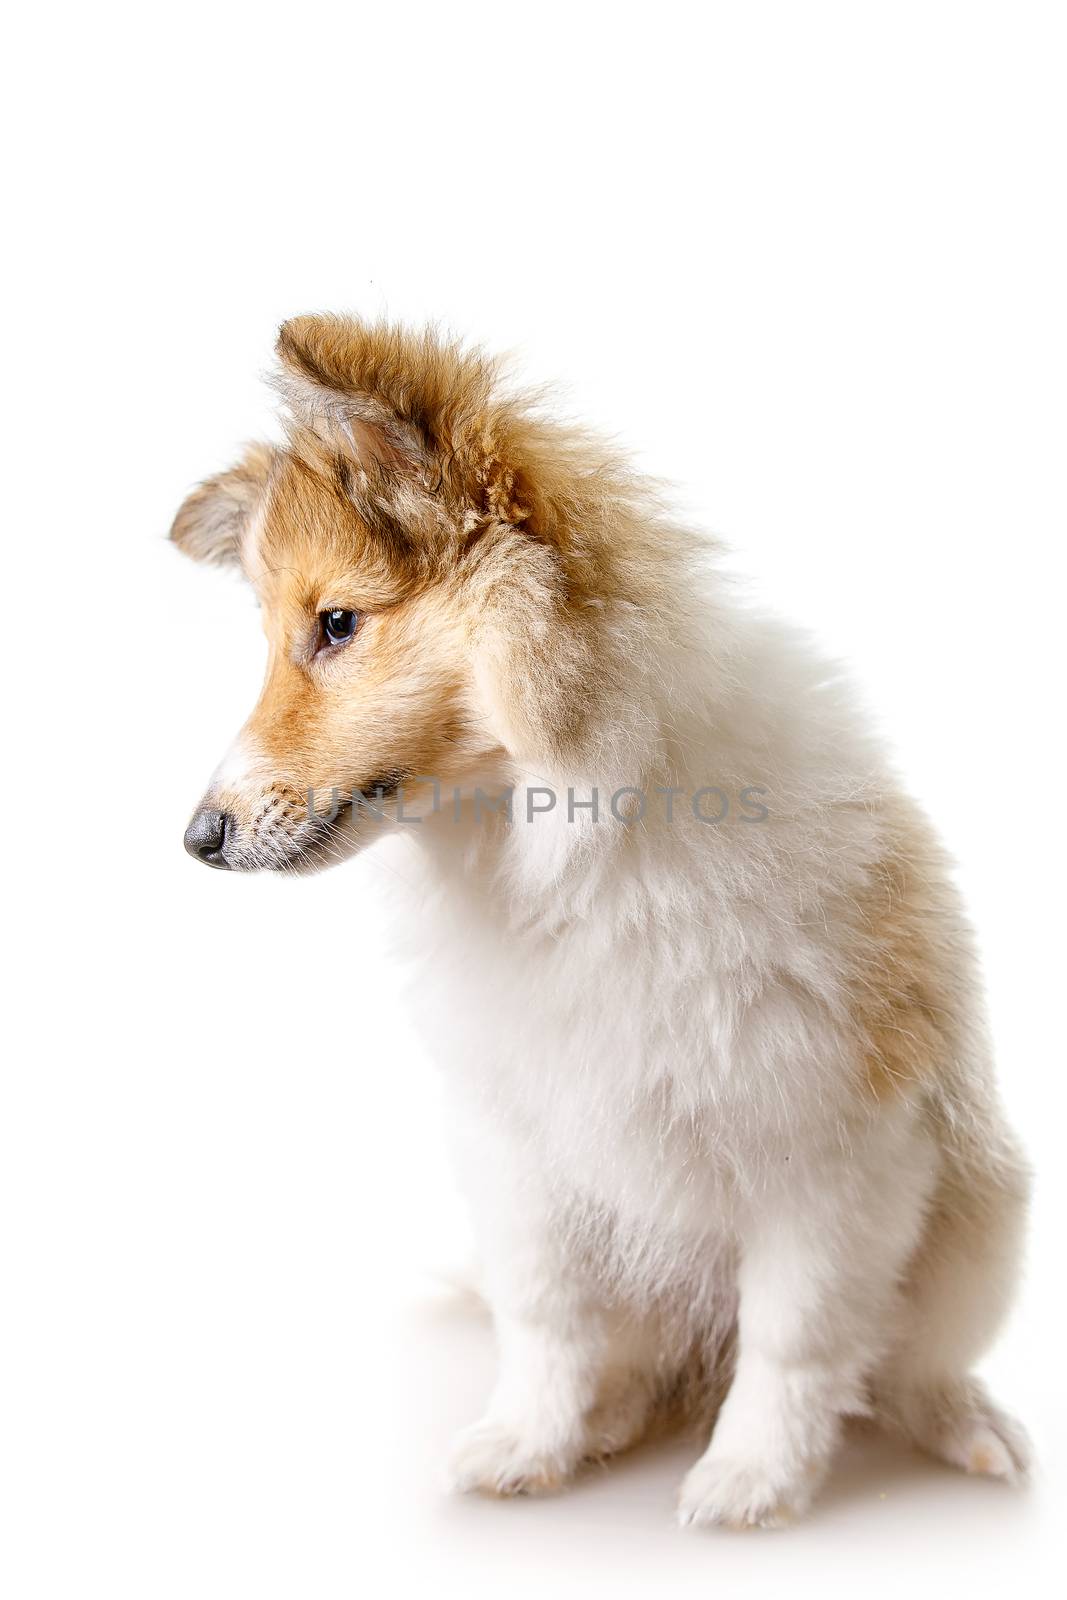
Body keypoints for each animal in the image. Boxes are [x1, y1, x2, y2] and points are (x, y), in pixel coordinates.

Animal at [173, 315, 1023, 1523]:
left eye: (335, 625)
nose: (197, 839)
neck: (563, 845)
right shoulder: (520, 1153)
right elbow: (547, 1320)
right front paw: (529, 1445)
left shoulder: (829, 1154)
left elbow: (796, 1338)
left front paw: (749, 1482)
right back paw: (616, 1417)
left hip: (984, 1214)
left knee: (904, 1365)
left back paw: (964, 1428)